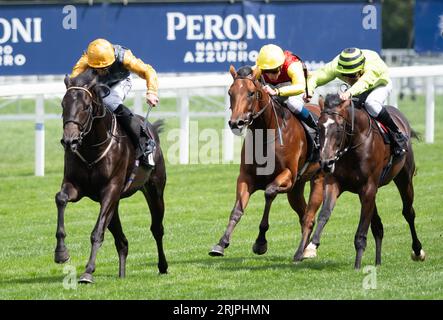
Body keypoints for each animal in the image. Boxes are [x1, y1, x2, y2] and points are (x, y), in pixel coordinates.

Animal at [54, 70, 168, 282]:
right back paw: (122, 274)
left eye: (86, 106)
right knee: (122, 241)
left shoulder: (111, 189)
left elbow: (97, 232)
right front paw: (61, 253)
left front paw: (88, 271)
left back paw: (163, 266)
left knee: (157, 229)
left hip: (154, 190)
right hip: (114, 204)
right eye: (63, 105)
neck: (92, 147)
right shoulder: (76, 186)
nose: (69, 140)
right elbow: (61, 199)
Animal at [210, 65, 324, 262]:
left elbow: (269, 192)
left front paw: (260, 242)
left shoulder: (288, 177)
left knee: (309, 217)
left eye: (251, 93)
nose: (236, 123)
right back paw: (304, 249)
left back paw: (304, 251)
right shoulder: (246, 177)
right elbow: (237, 210)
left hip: (318, 179)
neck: (266, 133)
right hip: (296, 189)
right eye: (230, 92)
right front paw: (221, 243)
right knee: (304, 215)